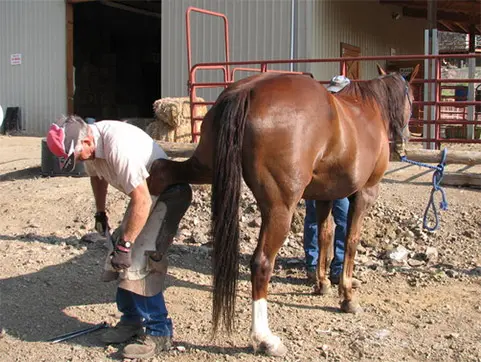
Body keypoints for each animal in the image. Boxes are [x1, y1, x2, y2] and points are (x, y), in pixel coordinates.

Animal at [149, 64, 416, 356]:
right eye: (412, 99)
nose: (405, 139)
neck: (368, 109)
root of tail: (247, 92)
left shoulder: (324, 197)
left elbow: (324, 237)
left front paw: (322, 284)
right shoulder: (365, 193)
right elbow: (351, 241)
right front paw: (347, 297)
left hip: (204, 167)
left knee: (160, 173)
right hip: (279, 209)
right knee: (261, 263)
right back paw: (265, 338)